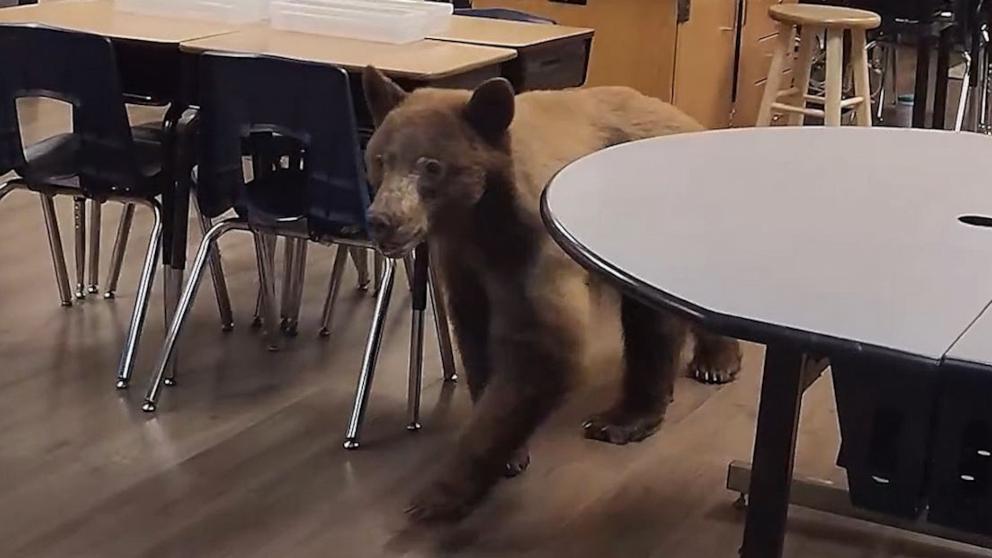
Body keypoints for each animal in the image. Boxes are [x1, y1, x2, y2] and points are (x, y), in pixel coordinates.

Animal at [360, 66, 740, 524]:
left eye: (431, 166)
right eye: (380, 158)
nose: (382, 219)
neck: (480, 220)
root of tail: (687, 118)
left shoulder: (533, 247)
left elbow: (543, 347)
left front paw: (440, 493)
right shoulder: (463, 264)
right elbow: (475, 335)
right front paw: (509, 454)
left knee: (656, 317)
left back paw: (647, 403)